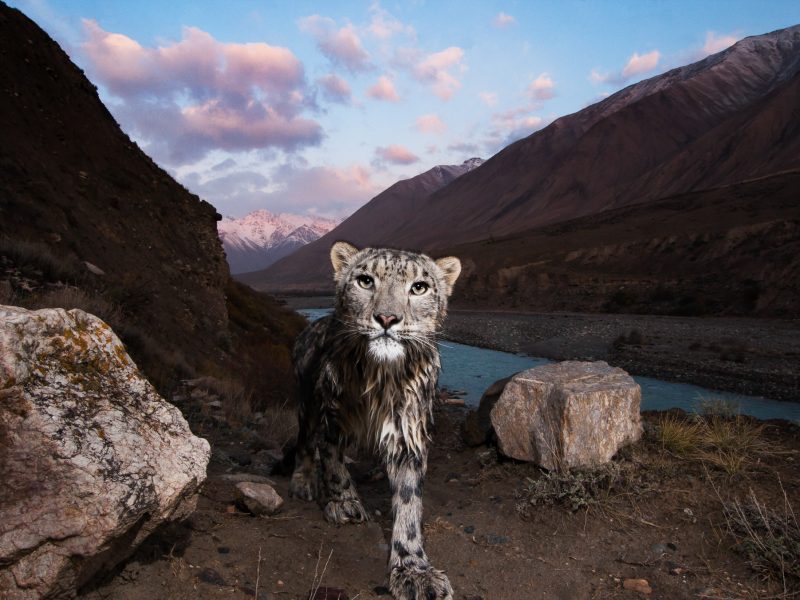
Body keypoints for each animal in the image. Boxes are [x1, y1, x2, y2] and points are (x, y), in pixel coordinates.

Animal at [289, 241, 461, 600]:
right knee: (304, 442)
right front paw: (345, 503)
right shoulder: (332, 419)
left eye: (419, 287)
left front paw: (413, 570)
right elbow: (333, 463)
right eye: (365, 280)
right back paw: (303, 481)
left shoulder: (409, 435)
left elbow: (409, 503)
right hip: (308, 403)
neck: (381, 379)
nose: (387, 318)